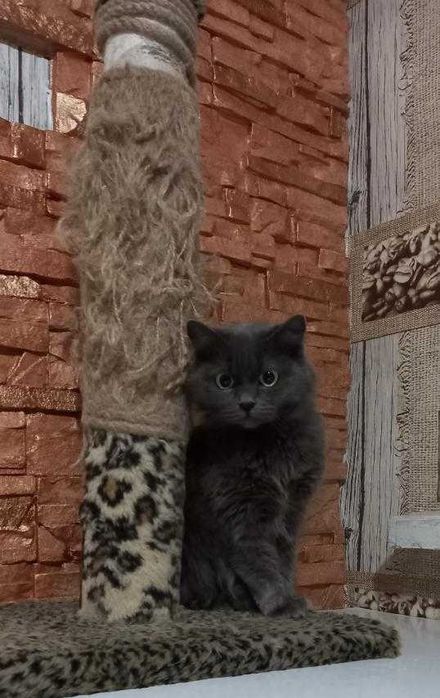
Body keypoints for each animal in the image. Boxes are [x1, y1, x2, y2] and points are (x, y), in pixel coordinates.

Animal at [180, 314, 325, 618]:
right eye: (224, 381)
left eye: (269, 378)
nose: (246, 403)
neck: (267, 444)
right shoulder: (241, 513)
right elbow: (260, 563)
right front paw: (281, 604)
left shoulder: (291, 511)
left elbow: (283, 560)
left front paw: (289, 596)